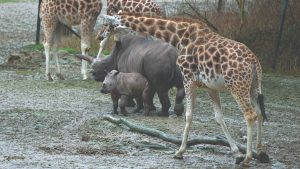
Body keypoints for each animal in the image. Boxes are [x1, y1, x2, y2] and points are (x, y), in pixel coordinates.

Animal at [102, 13, 270, 166]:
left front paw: (179, 152)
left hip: (237, 86)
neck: (179, 36)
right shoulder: (209, 86)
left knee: (250, 115)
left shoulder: (188, 79)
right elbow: (219, 118)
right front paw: (236, 153)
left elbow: (188, 115)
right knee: (259, 112)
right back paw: (260, 152)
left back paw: (248, 158)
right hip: (253, 86)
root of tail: (254, 62)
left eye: (108, 25)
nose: (101, 36)